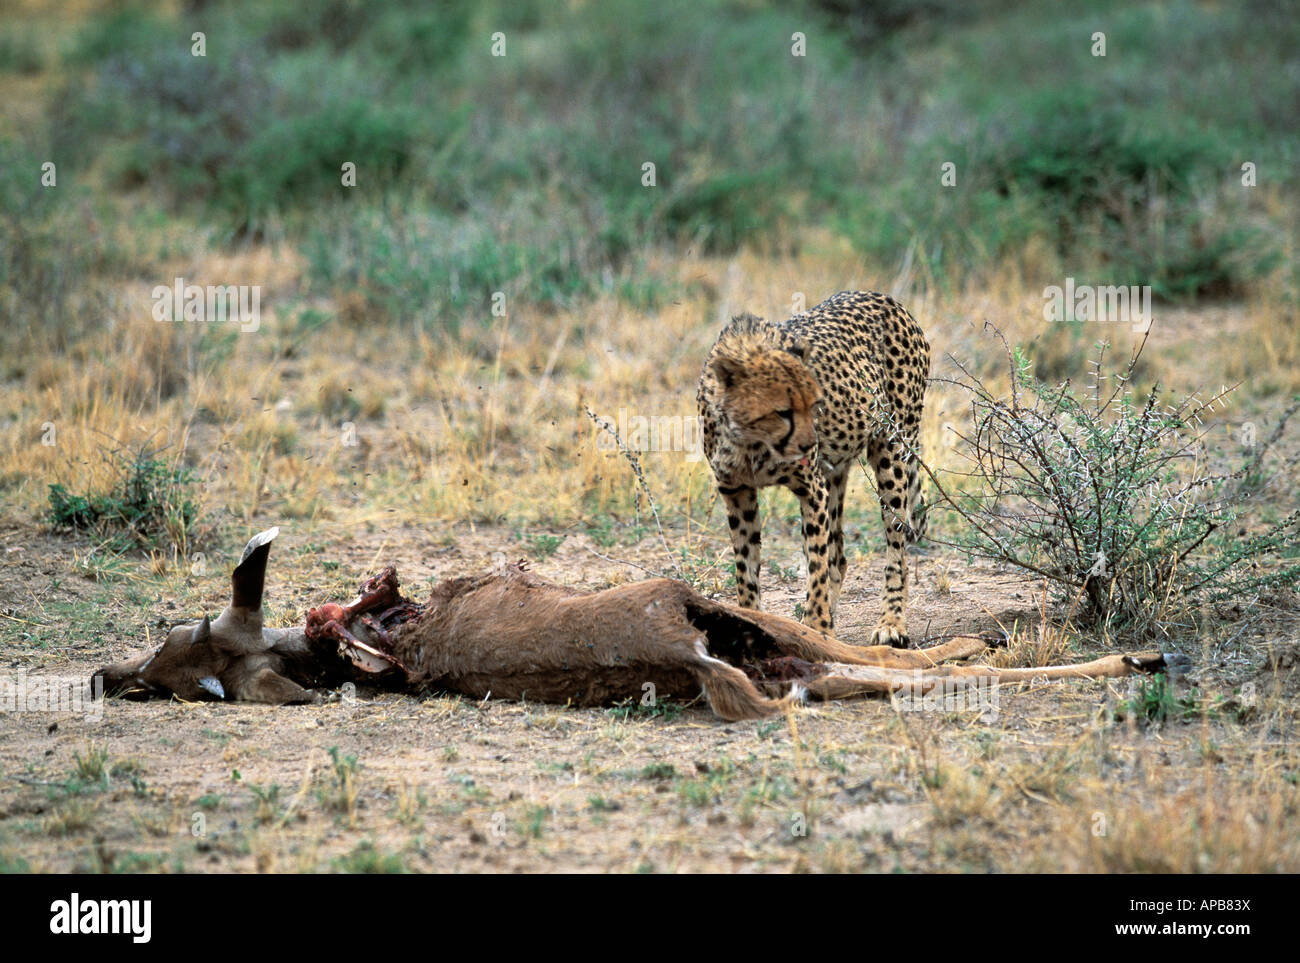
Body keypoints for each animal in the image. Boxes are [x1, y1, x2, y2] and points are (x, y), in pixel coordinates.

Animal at [696, 289, 930, 642]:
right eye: (782, 411)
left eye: (814, 404)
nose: (808, 444)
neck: (752, 442)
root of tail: (884, 298)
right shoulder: (737, 492)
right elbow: (746, 569)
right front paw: (751, 621)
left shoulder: (811, 488)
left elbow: (816, 566)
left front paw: (818, 626)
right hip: (836, 471)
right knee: (840, 557)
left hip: (891, 449)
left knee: (895, 545)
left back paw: (891, 623)